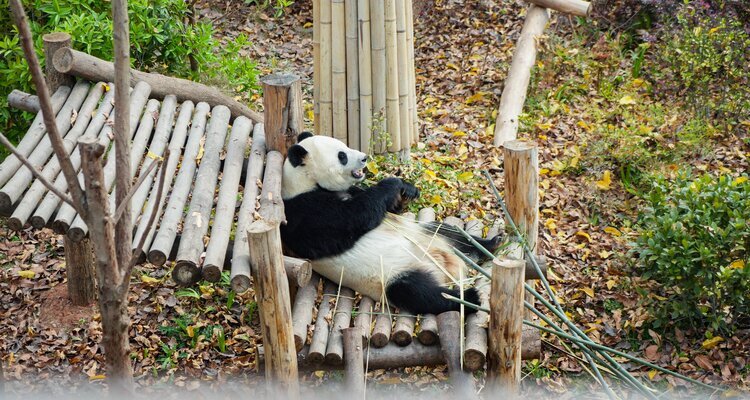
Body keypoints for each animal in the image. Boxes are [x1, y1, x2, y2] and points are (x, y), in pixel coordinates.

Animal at [280, 132, 502, 315]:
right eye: (341, 156)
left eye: (343, 145)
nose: (364, 158)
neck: (304, 182)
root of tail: (443, 266)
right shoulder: (302, 213)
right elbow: (351, 219)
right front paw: (392, 183)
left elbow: (386, 209)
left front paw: (406, 190)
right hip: (392, 275)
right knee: (419, 293)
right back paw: (469, 298)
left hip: (426, 234)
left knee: (452, 234)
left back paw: (491, 243)